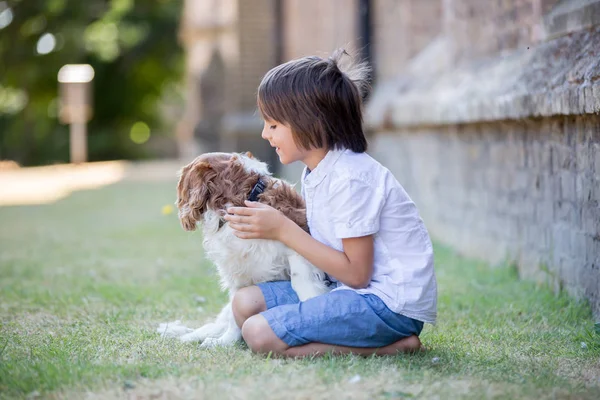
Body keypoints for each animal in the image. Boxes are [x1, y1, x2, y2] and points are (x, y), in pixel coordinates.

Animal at [157, 151, 330, 346]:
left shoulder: (298, 244)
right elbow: (235, 310)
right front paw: (225, 342)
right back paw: (190, 336)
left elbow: (301, 281)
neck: (245, 201)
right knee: (214, 325)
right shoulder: (237, 270)